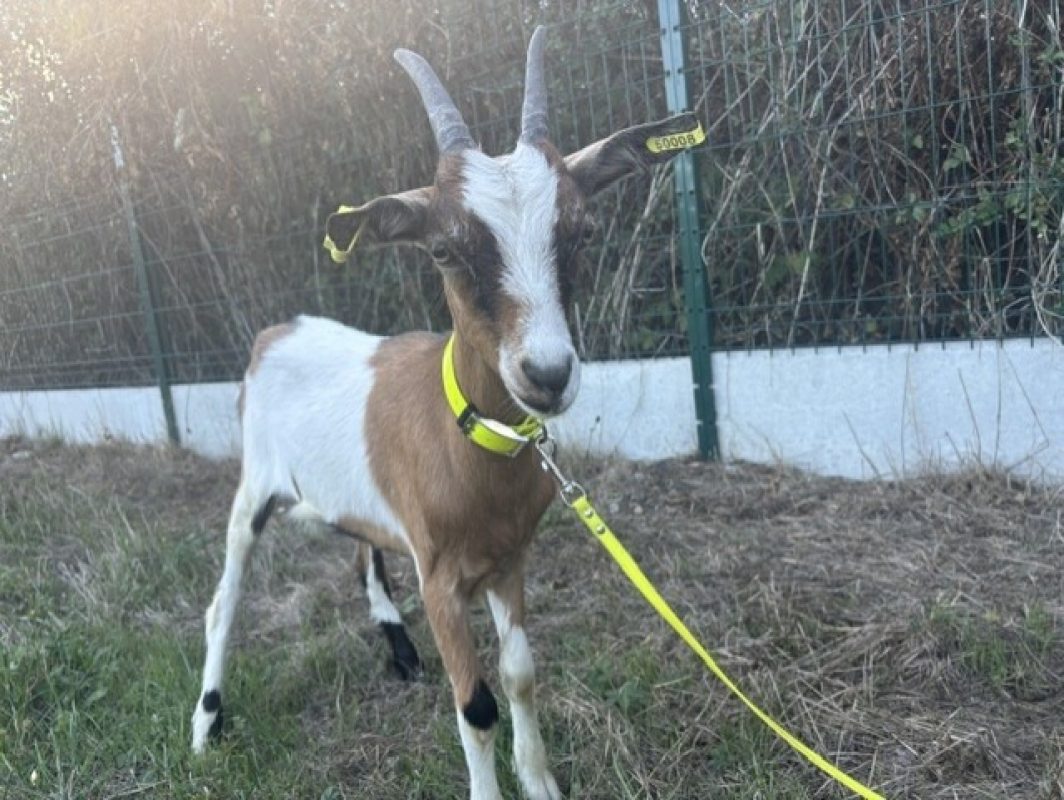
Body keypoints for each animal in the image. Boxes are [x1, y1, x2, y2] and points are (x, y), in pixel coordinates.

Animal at [191, 27, 700, 800]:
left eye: (582, 231)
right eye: (442, 249)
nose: (546, 374)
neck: (464, 436)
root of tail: (275, 334)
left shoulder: (508, 558)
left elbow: (520, 675)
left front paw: (541, 782)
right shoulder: (442, 582)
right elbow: (477, 705)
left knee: (360, 547)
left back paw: (398, 649)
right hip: (253, 488)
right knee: (226, 599)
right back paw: (206, 725)